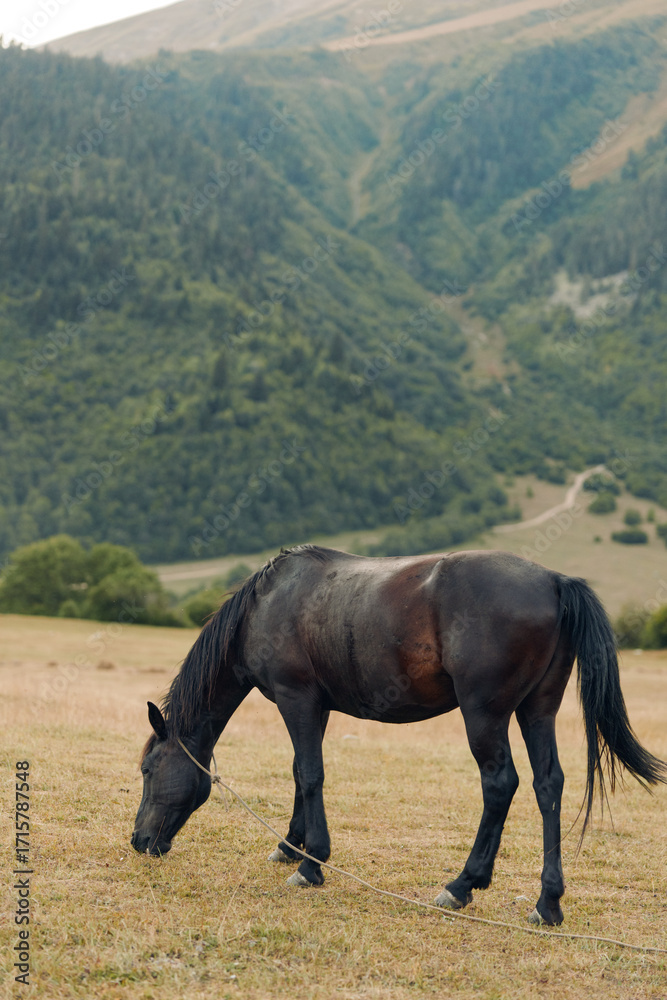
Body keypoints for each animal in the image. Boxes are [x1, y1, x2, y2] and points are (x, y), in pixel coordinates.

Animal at [131, 545, 666, 925]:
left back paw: (462, 885)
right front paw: (290, 847)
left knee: (500, 785)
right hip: (537, 711)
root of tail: (554, 581)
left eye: (147, 770)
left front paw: (311, 864)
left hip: (485, 715)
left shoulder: (295, 699)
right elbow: (300, 773)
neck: (269, 603)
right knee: (547, 786)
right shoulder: (315, 707)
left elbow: (309, 773)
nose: (139, 841)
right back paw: (548, 903)